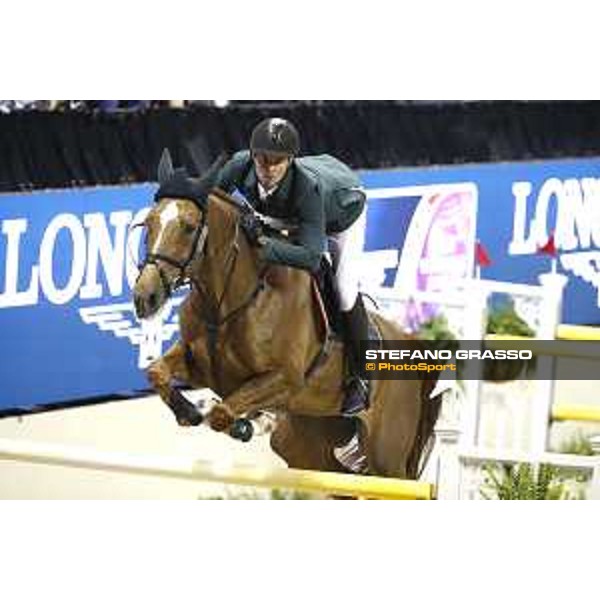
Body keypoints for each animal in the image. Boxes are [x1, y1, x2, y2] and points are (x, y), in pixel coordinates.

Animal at [132, 154, 440, 478]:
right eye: (148, 224)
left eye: (189, 227)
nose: (145, 297)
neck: (230, 300)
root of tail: (414, 347)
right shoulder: (198, 364)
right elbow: (156, 373)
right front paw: (190, 413)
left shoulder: (285, 379)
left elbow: (221, 413)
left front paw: (241, 424)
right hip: (309, 439)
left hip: (386, 455)